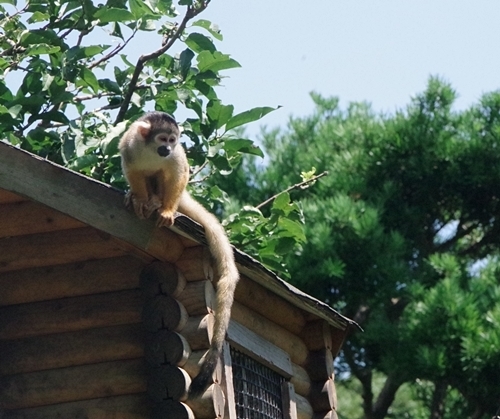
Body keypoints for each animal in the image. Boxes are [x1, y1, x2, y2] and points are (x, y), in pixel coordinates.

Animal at [119, 110, 240, 398]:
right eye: (162, 139)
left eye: (173, 140)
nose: (167, 148)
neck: (151, 150)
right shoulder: (130, 145)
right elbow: (132, 170)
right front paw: (140, 200)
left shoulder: (175, 157)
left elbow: (177, 173)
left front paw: (163, 210)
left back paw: (159, 204)